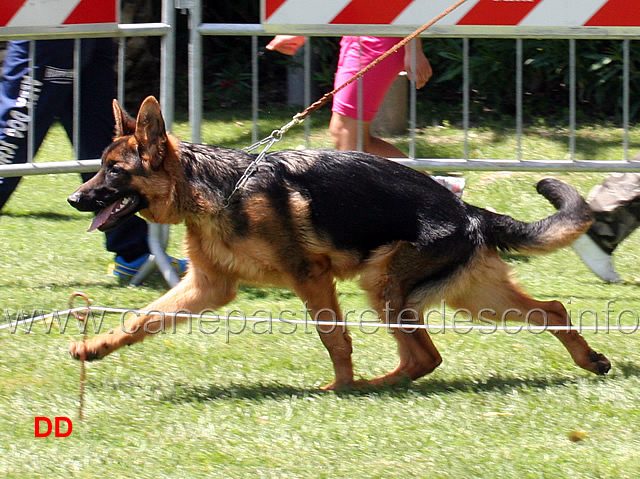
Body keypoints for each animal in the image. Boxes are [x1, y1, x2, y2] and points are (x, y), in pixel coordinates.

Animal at [67, 96, 612, 390]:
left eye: (114, 171)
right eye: (100, 166)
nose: (75, 197)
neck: (220, 189)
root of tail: (468, 211)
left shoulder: (310, 278)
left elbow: (334, 337)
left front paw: (342, 384)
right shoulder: (208, 288)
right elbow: (141, 320)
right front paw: (94, 347)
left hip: (385, 286)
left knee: (425, 357)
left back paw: (367, 387)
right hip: (472, 298)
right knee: (551, 310)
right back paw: (590, 360)